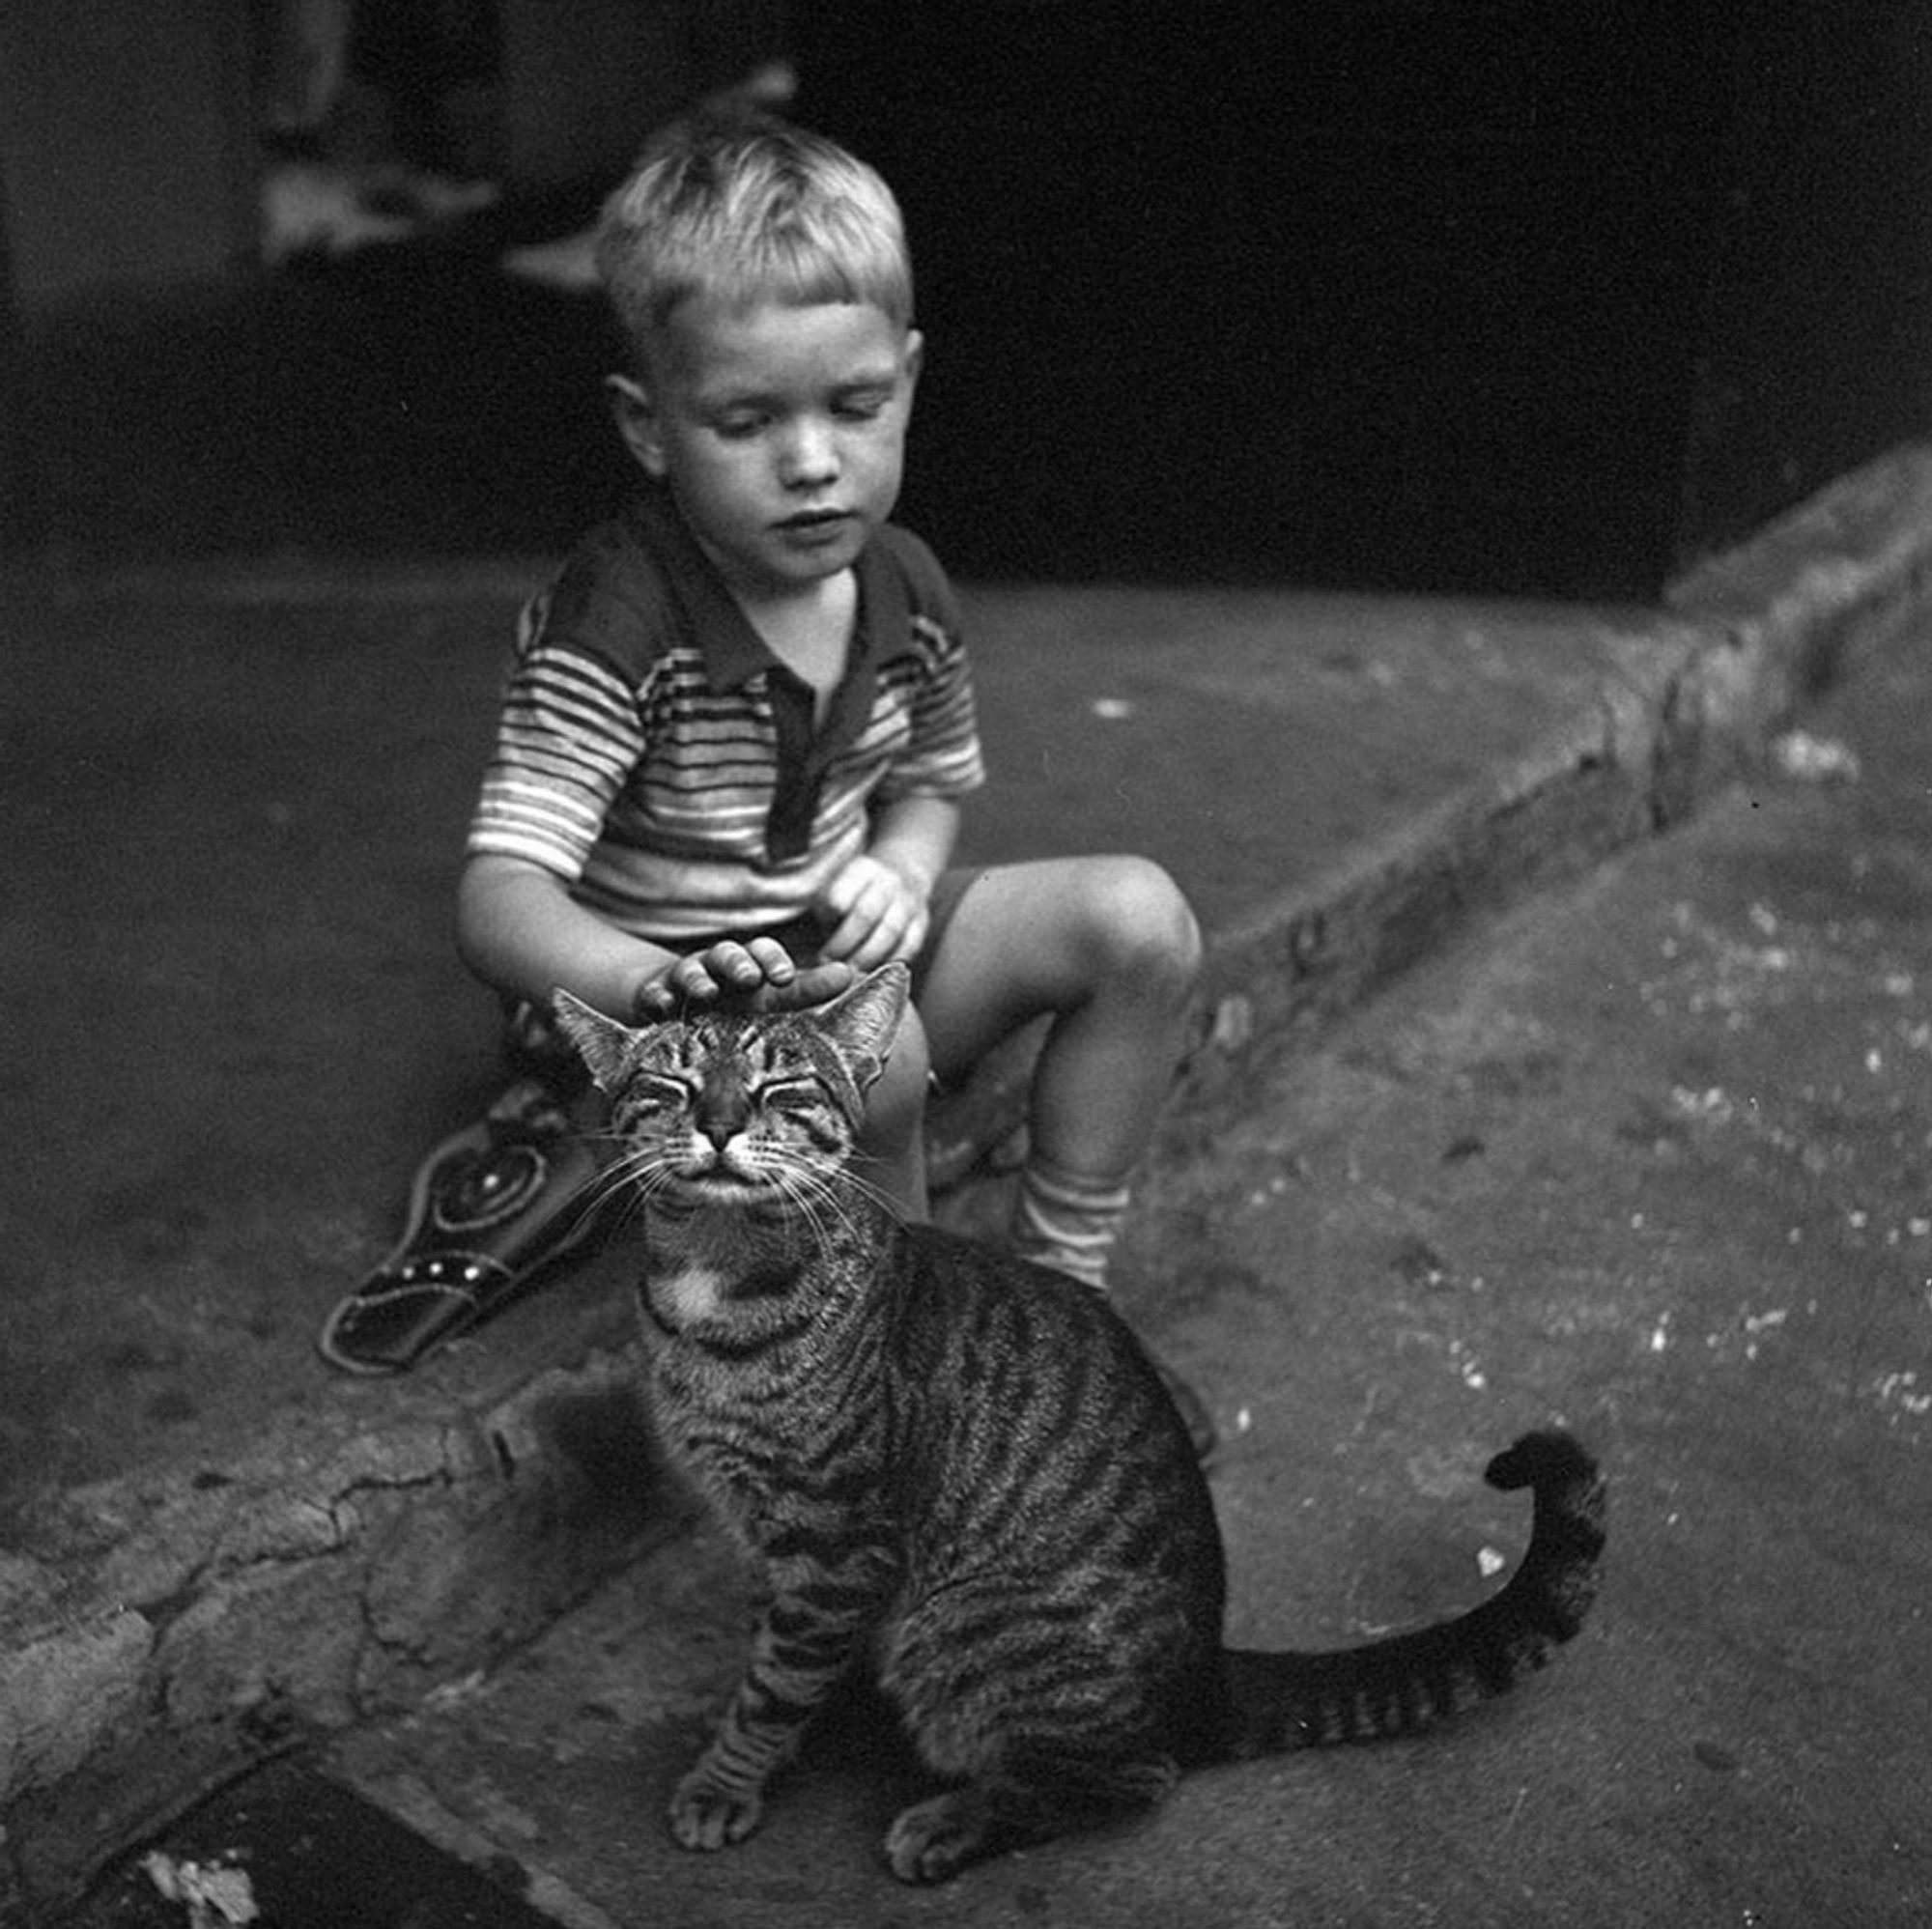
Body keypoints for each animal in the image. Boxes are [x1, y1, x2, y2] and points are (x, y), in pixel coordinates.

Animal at [556, 966, 1600, 1886]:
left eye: (781, 1086)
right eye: (669, 1085)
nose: (719, 1124)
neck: (711, 1278)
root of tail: (1201, 1680)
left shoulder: (834, 1534)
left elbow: (773, 1686)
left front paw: (725, 1781)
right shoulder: (768, 1531)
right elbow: (775, 1649)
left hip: (967, 1634)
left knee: (1130, 1777)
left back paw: (954, 1817)